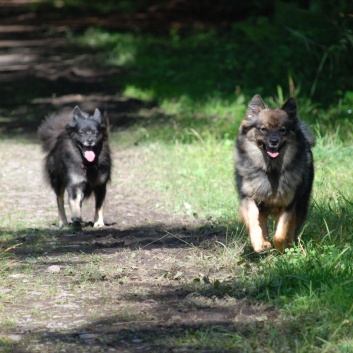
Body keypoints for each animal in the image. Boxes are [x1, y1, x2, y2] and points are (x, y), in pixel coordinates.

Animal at [234, 95, 314, 252]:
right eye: (263, 129)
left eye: (283, 130)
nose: (273, 141)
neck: (271, 169)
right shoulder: (249, 198)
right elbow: (254, 221)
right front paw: (260, 244)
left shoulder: (289, 203)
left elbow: (281, 233)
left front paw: (282, 247)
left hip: (302, 203)